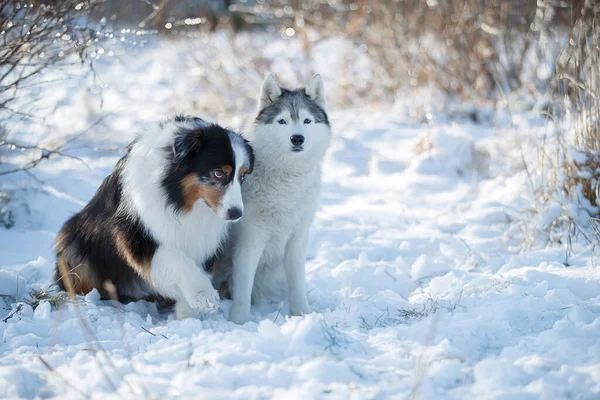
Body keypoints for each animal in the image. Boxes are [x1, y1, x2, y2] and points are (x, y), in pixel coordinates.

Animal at [54, 115, 253, 318]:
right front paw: (204, 296)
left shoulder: (205, 241)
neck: (179, 201)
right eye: (218, 173)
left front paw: (188, 316)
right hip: (73, 242)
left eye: (243, 176)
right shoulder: (137, 235)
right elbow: (177, 258)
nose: (236, 213)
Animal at [212, 74, 332, 324]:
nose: (297, 139)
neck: (286, 183)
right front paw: (240, 322)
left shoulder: (297, 240)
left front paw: (302, 314)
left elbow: (297, 283)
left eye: (307, 121)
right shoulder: (249, 242)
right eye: (282, 121)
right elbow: (243, 290)